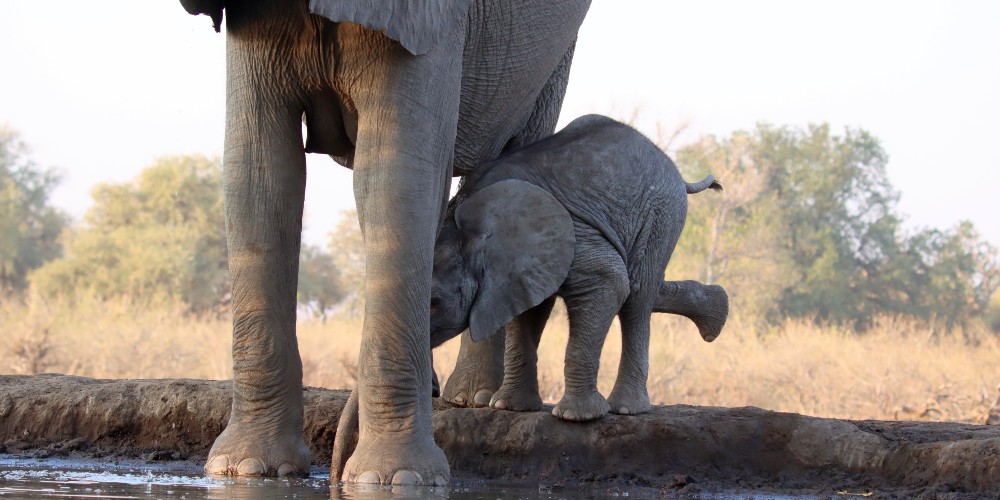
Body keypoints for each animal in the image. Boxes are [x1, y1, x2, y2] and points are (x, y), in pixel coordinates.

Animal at [179, 0, 588, 486]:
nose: (332, 476)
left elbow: (397, 173)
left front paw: (393, 480)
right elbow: (258, 171)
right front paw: (245, 471)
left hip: (550, 60)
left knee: (508, 157)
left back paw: (474, 399)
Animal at [430, 114, 728, 422]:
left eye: (435, 303)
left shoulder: (572, 231)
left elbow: (609, 281)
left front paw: (577, 417)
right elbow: (526, 313)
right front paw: (508, 407)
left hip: (661, 215)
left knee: (637, 296)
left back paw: (627, 408)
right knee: (642, 287)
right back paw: (716, 314)